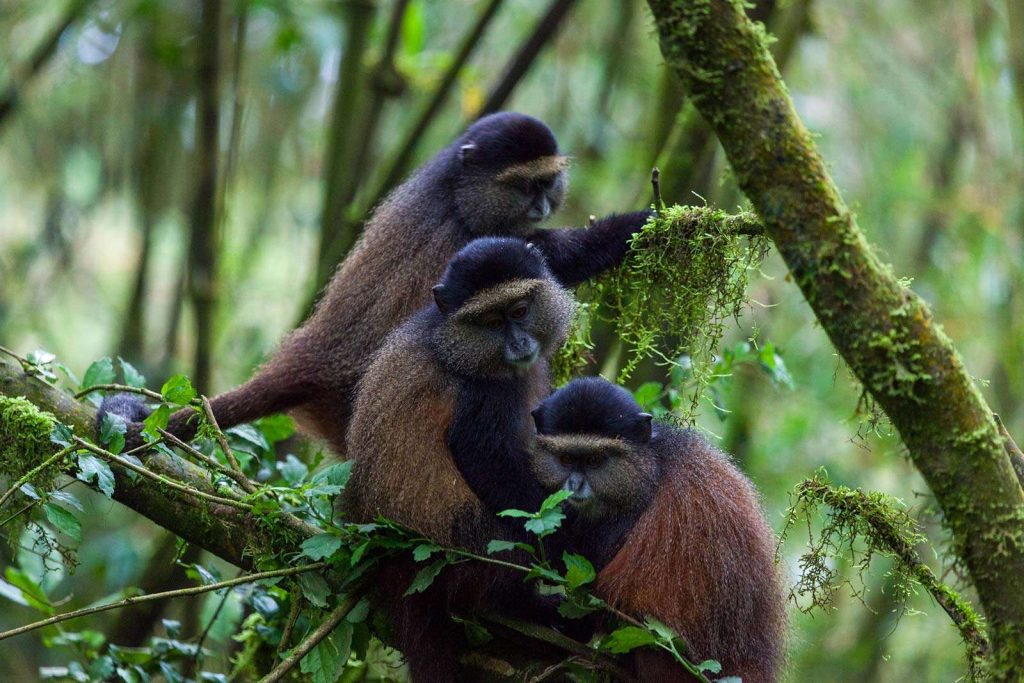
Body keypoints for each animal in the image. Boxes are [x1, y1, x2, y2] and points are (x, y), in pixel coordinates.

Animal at [101, 112, 650, 454]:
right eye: (523, 184)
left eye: (547, 182)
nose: (539, 205)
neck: (455, 192)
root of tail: (312, 356)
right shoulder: (472, 243)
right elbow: (548, 259)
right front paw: (645, 223)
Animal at [342, 237, 576, 681]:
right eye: (491, 321)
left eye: (520, 311)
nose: (520, 345)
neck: (453, 342)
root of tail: (397, 568)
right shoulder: (482, 398)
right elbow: (488, 462)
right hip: (468, 551)